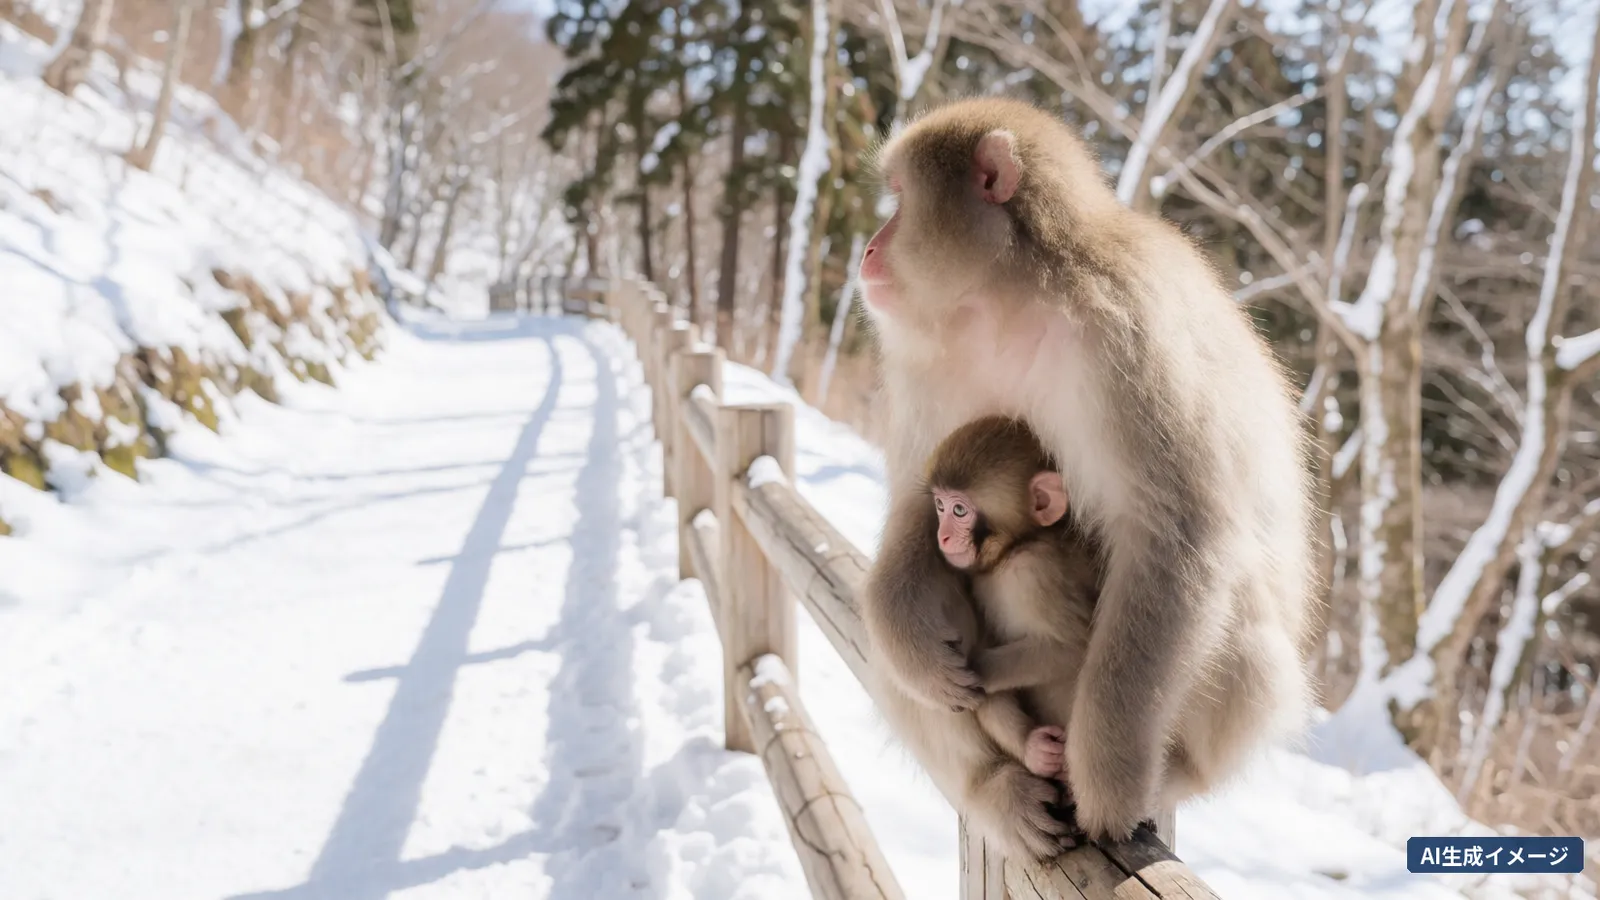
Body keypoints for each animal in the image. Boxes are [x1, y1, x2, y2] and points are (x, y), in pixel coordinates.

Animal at [924, 415, 1100, 786]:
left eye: (959, 510)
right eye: (940, 506)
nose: (942, 536)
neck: (1013, 549)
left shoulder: (1034, 573)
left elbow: (1074, 647)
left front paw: (971, 671)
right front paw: (1034, 747)